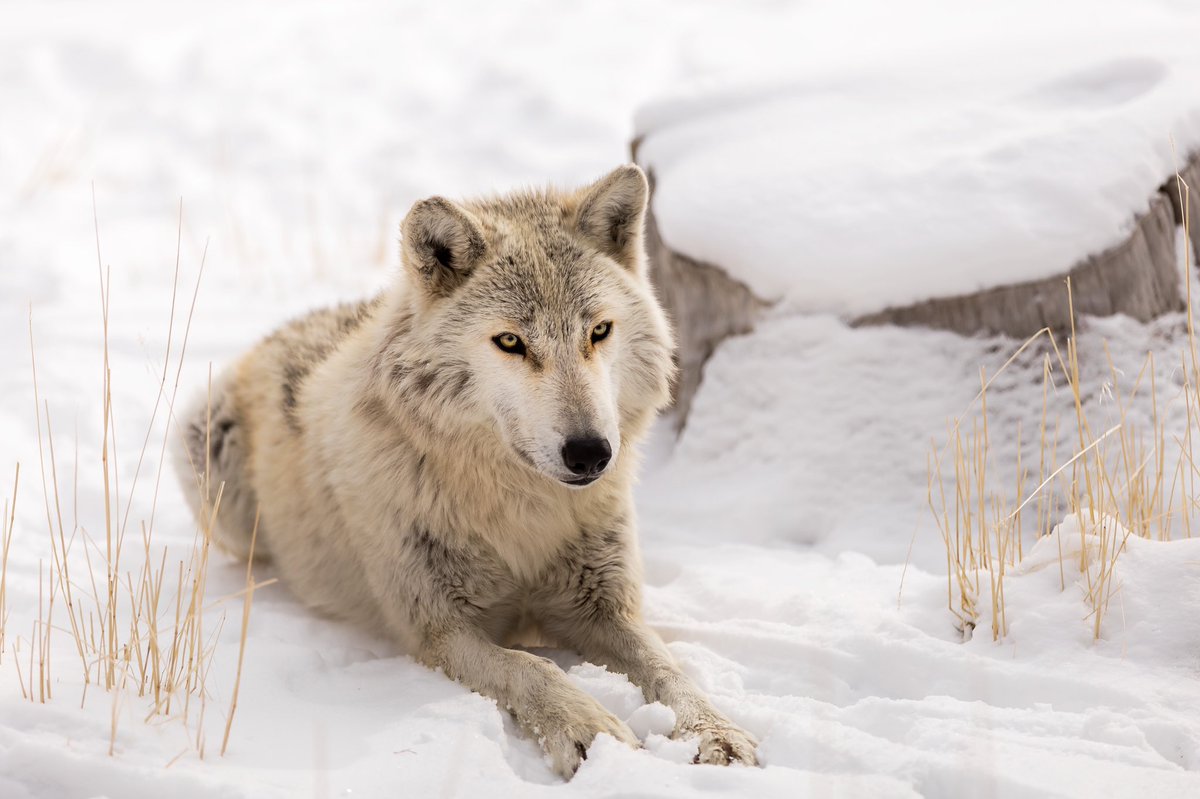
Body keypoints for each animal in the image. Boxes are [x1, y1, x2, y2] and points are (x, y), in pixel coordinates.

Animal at [174, 165, 759, 777]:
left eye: (599, 331)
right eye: (510, 341)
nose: (590, 453)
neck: (522, 511)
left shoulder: (605, 608)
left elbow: (667, 667)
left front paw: (715, 731)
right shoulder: (440, 630)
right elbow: (533, 667)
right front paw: (590, 731)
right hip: (206, 454)